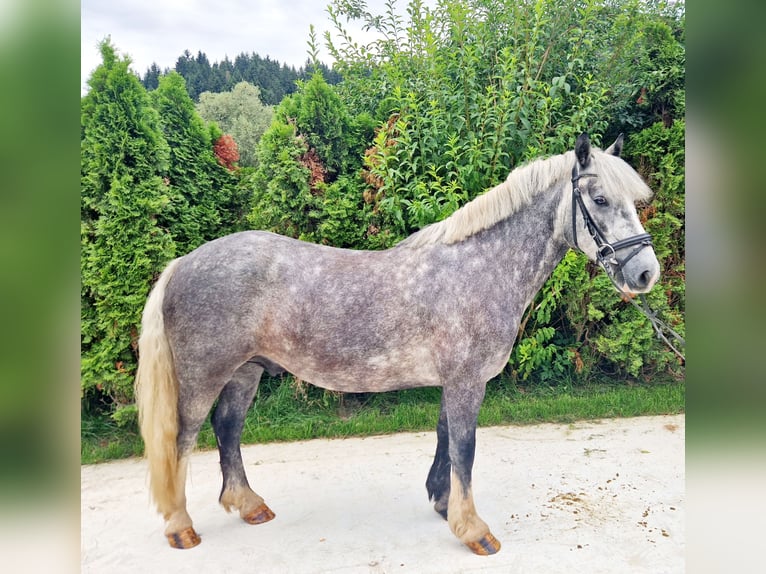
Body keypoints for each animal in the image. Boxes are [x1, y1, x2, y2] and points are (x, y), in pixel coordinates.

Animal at [136, 133, 660, 556]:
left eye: (633, 199)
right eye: (599, 198)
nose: (645, 273)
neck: (478, 268)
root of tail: (182, 263)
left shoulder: (455, 381)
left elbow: (446, 438)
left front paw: (443, 504)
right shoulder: (467, 381)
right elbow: (465, 449)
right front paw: (474, 531)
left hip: (245, 372)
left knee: (228, 428)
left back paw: (249, 505)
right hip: (203, 376)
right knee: (182, 439)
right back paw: (181, 528)